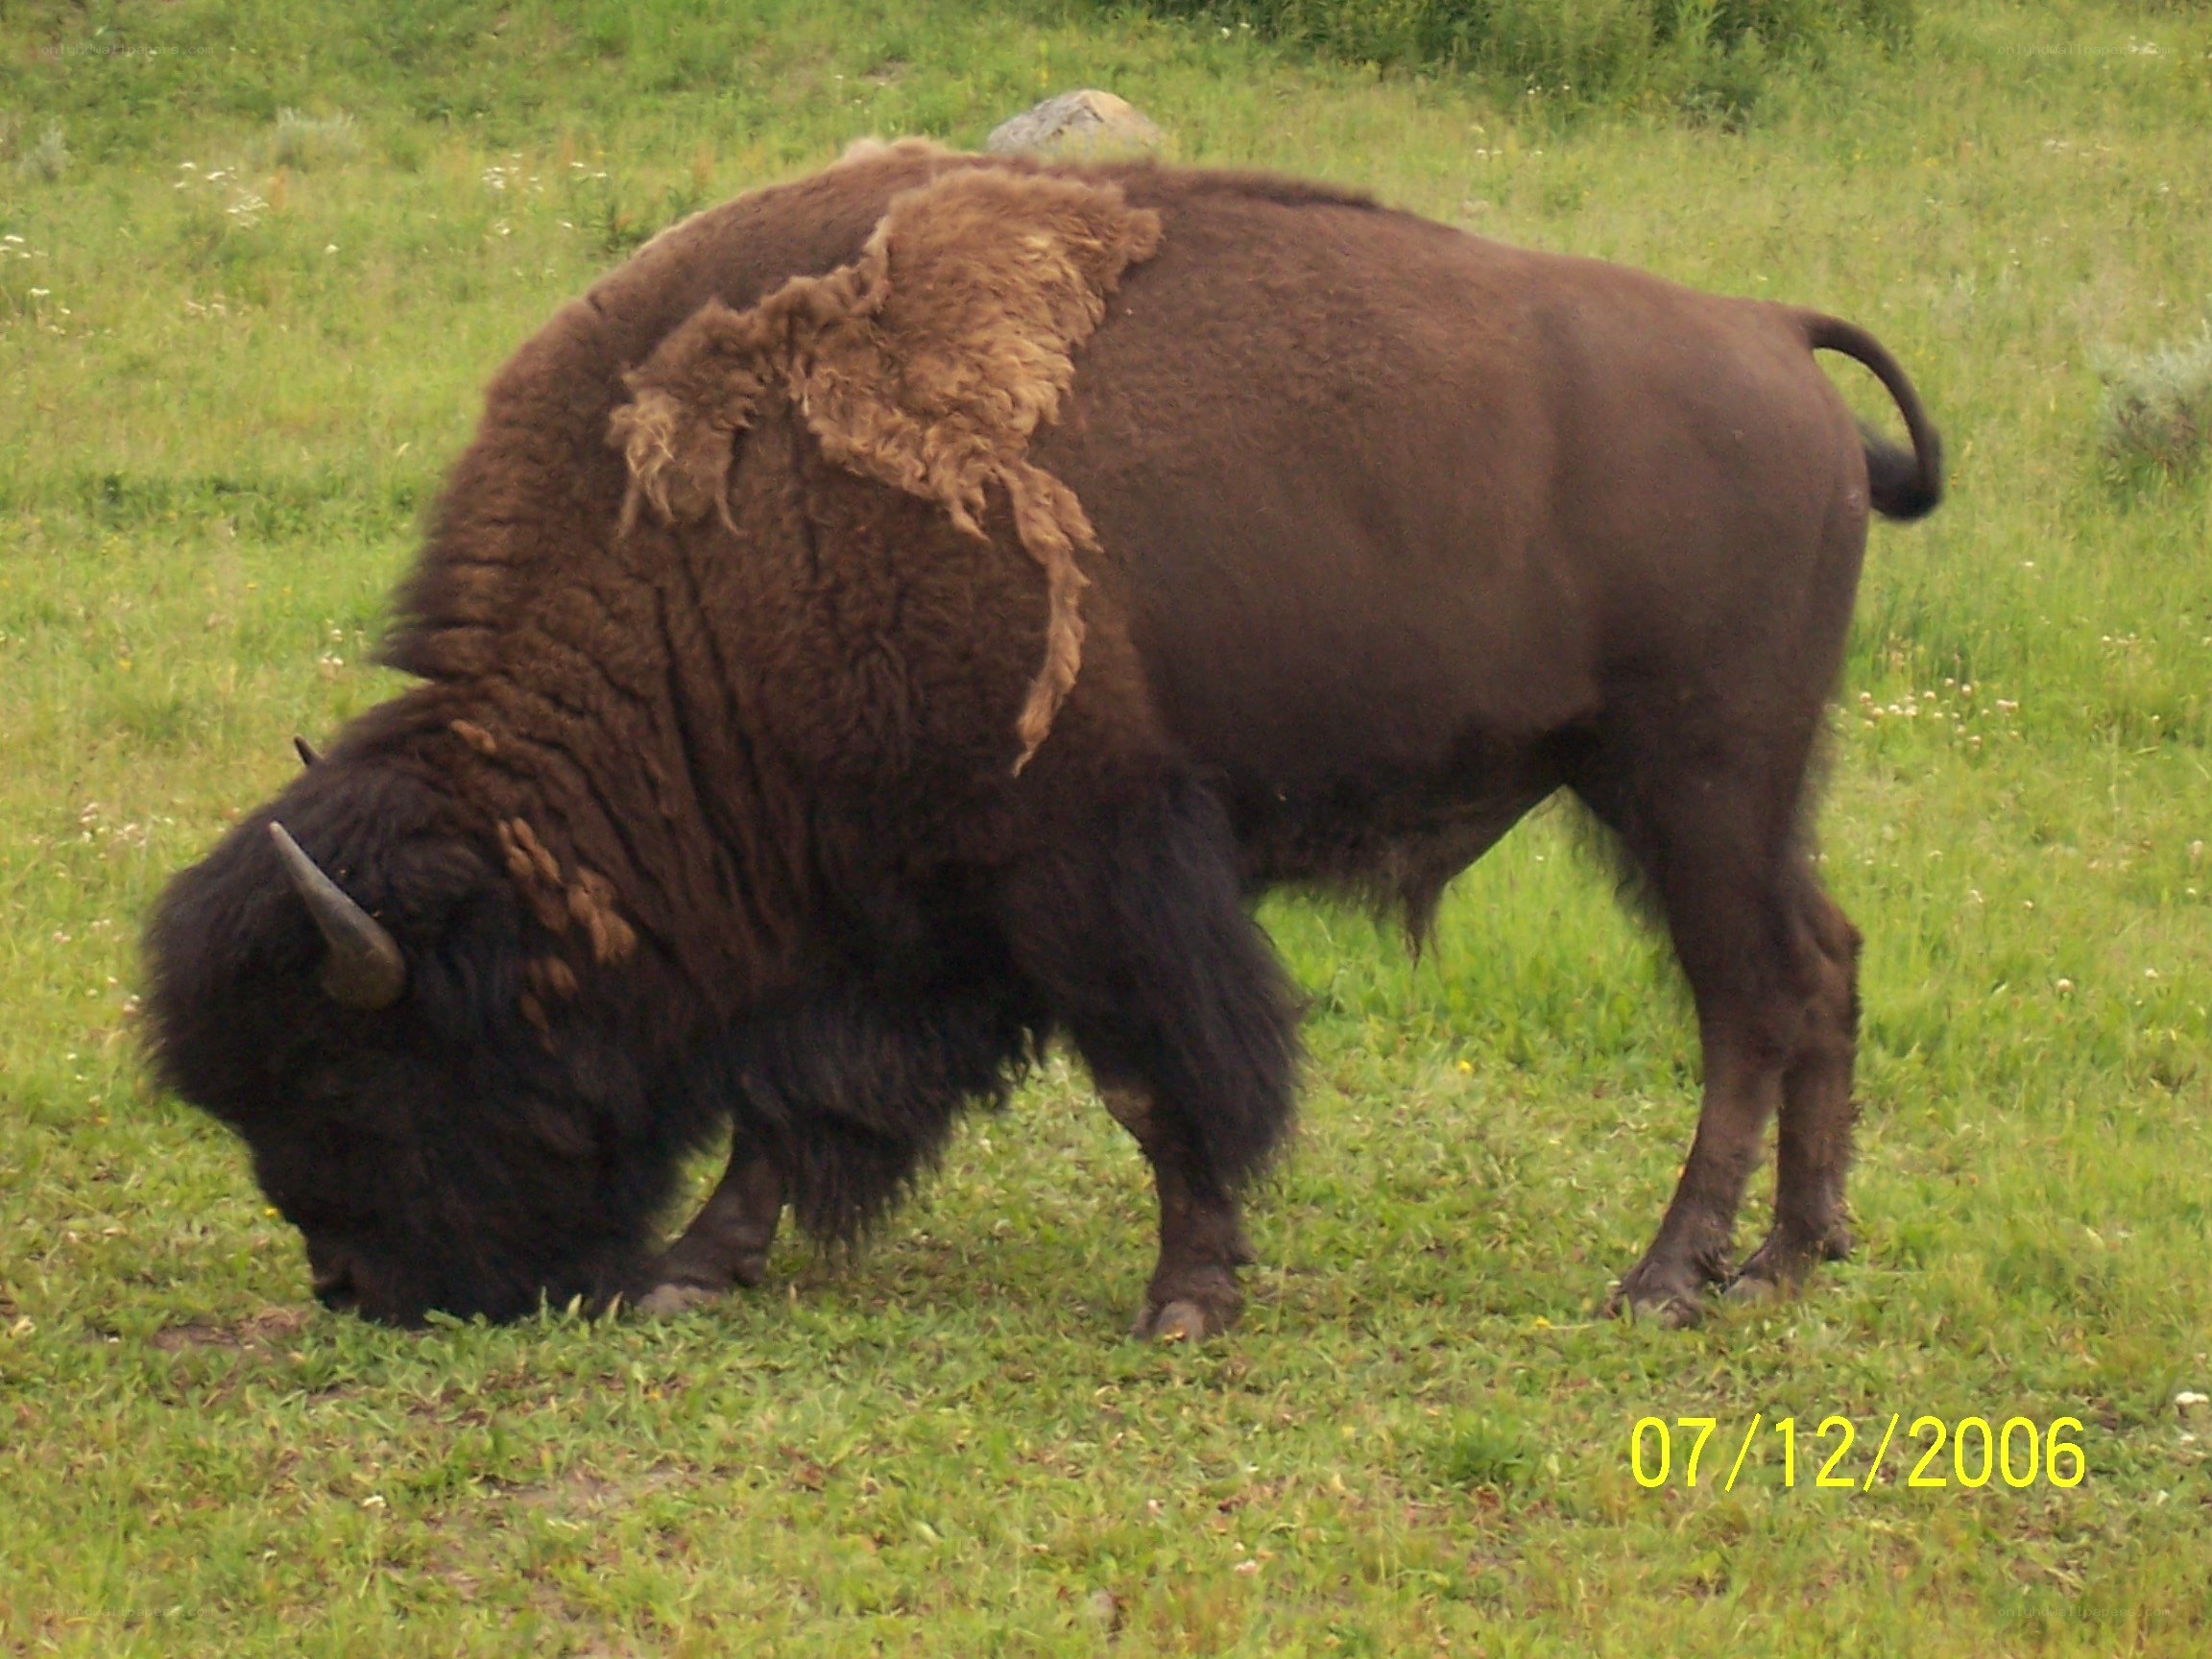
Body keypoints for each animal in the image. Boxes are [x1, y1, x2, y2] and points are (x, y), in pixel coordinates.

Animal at [146, 141, 1940, 1335]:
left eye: (347, 1068)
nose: (354, 1284)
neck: (718, 556)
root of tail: (1768, 333)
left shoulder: (1080, 870)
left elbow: (1158, 1083)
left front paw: (1186, 1298)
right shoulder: (900, 917)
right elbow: (796, 1105)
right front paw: (694, 1271)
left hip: (1686, 784)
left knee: (1748, 1000)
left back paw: (1666, 1277)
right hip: (1738, 793)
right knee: (1826, 963)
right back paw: (1796, 1254)